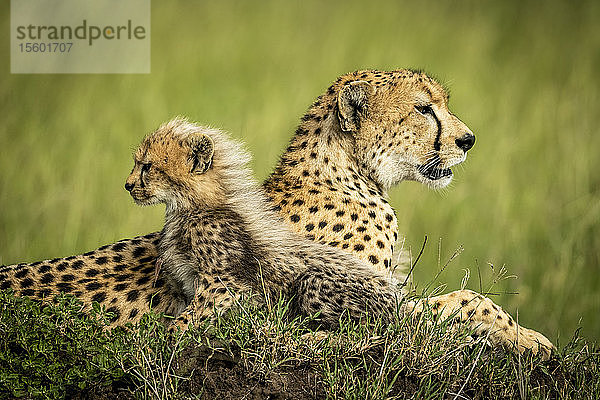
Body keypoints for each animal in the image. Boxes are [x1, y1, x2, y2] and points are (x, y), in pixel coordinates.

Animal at [0, 70, 552, 358]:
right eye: (423, 109)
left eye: (441, 104)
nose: (468, 140)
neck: (349, 172)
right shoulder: (362, 303)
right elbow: (464, 301)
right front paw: (531, 338)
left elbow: (462, 299)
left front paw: (525, 335)